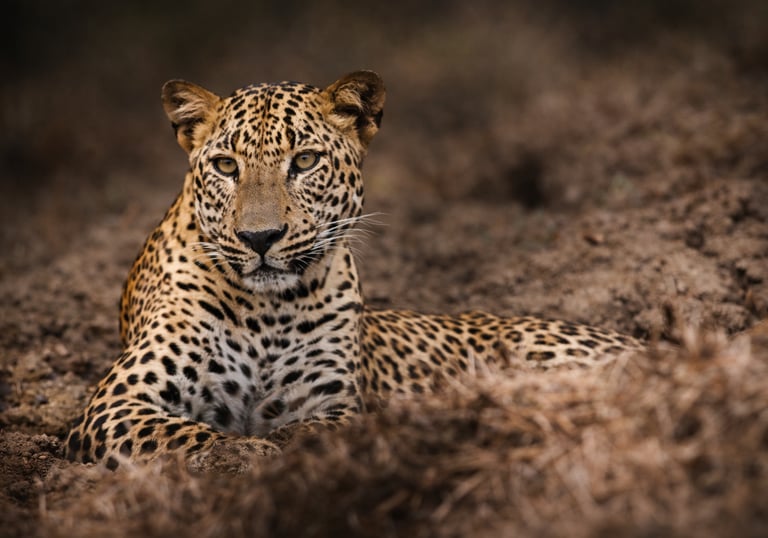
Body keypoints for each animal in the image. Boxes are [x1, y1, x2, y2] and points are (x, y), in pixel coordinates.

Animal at [65, 71, 642, 469]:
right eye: (226, 166)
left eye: (304, 161)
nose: (259, 238)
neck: (266, 313)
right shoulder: (120, 400)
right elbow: (190, 435)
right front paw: (252, 459)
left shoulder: (332, 403)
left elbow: (317, 433)